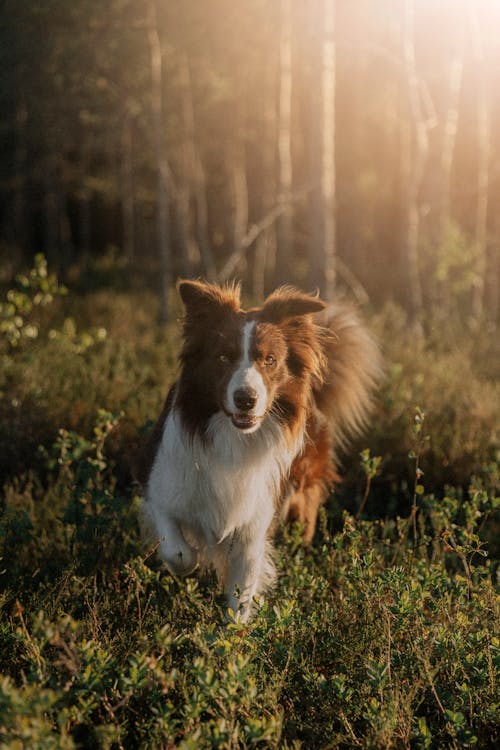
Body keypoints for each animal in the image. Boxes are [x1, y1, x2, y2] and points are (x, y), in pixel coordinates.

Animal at [139, 282, 380, 624]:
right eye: (223, 356)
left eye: (269, 359)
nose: (246, 399)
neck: (233, 440)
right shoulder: (160, 486)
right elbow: (178, 550)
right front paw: (193, 559)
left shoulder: (254, 525)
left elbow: (241, 596)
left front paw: (233, 636)